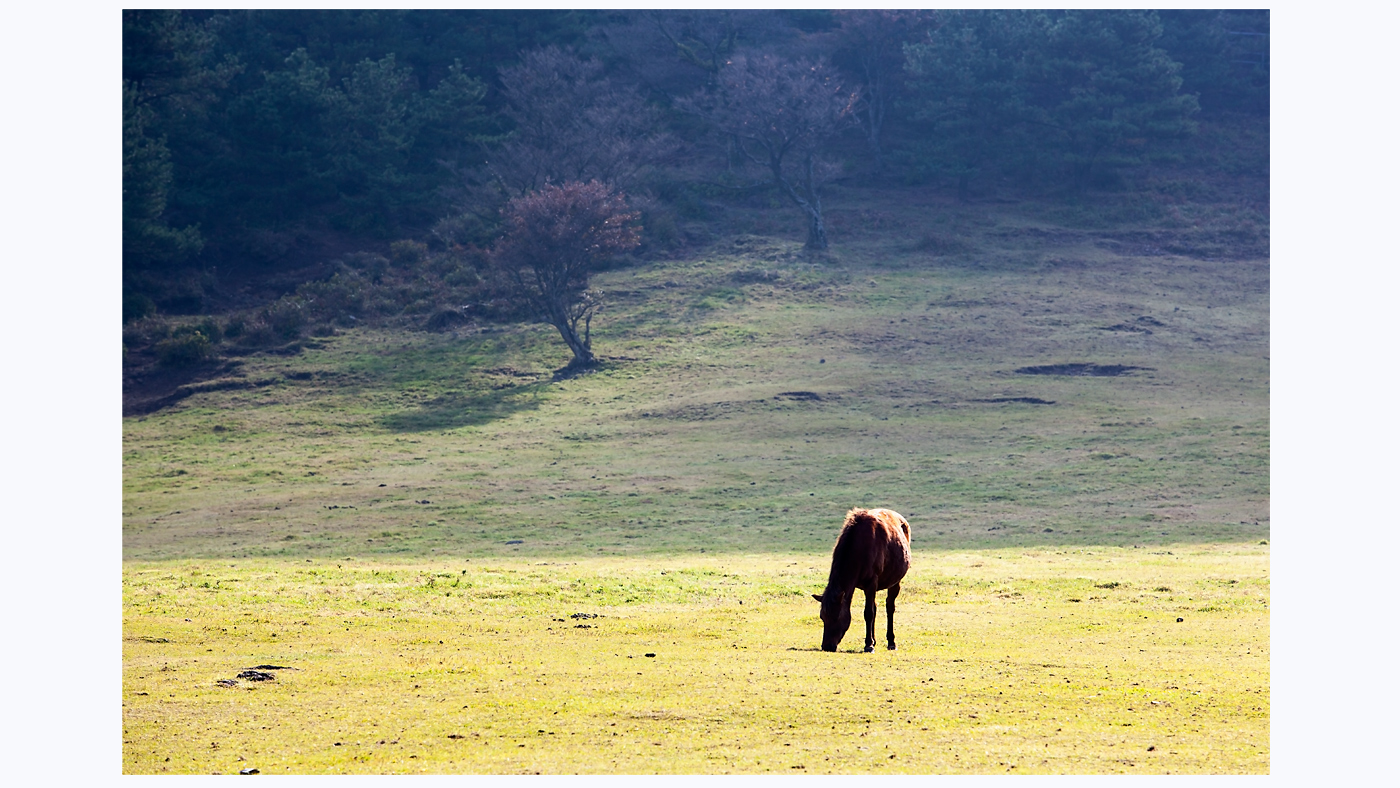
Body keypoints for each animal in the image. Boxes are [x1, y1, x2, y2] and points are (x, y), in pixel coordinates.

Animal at [812, 508, 911, 652]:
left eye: (836, 616)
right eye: (822, 617)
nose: (827, 646)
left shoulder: (871, 582)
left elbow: (868, 613)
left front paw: (868, 645)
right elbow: (872, 611)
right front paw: (871, 642)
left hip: (895, 582)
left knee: (889, 607)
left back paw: (891, 642)